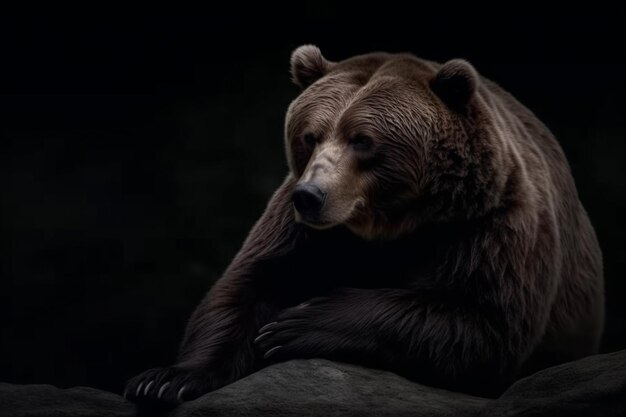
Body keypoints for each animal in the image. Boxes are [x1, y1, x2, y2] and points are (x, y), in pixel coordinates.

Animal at [124, 44, 604, 404]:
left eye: (362, 140)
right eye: (310, 135)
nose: (311, 195)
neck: (390, 223)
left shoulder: (489, 223)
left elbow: (481, 321)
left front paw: (296, 324)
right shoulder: (301, 228)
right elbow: (245, 287)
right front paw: (164, 379)